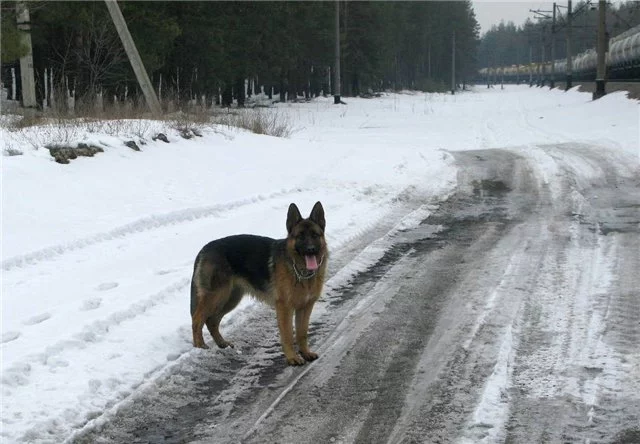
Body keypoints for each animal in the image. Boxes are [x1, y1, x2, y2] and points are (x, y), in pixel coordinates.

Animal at [190, 201, 328, 365]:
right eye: (300, 236)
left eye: (315, 235)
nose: (310, 250)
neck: (300, 270)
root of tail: (205, 248)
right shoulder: (285, 308)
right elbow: (288, 334)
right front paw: (292, 357)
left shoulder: (305, 307)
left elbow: (302, 333)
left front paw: (305, 352)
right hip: (216, 296)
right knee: (197, 319)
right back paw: (200, 347)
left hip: (230, 299)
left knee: (212, 321)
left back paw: (222, 344)